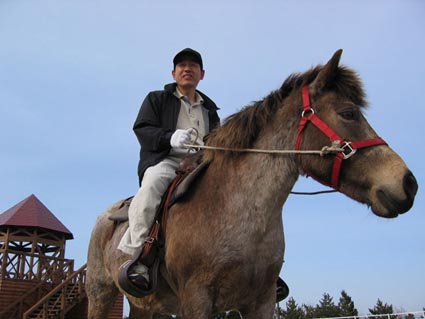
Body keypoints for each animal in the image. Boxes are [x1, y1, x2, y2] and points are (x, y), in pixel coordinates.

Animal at [86, 50, 418, 319]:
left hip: (142, 305)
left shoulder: (261, 301)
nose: (409, 183)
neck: (236, 208)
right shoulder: (196, 299)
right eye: (348, 113)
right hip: (100, 296)